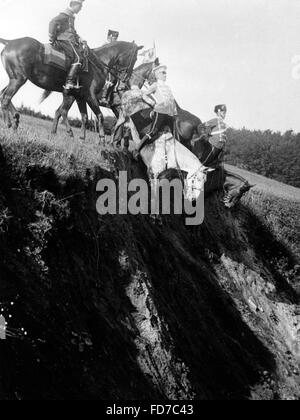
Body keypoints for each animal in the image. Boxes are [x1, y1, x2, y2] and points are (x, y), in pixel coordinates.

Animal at [0, 37, 142, 141]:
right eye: (135, 58)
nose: (124, 82)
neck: (97, 64)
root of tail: (10, 42)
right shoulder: (89, 96)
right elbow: (99, 115)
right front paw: (101, 139)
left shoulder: (79, 96)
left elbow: (82, 116)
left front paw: (81, 138)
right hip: (18, 79)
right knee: (6, 98)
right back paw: (11, 121)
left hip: (15, 79)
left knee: (3, 96)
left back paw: (13, 120)